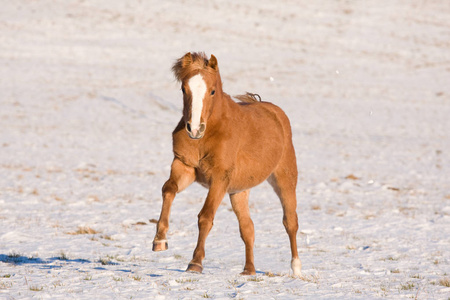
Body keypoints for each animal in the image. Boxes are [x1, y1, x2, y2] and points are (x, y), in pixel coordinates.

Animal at [152, 52, 302, 276]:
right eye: (183, 89)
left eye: (212, 90)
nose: (194, 129)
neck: (208, 135)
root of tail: (276, 114)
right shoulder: (185, 167)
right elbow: (168, 189)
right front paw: (160, 241)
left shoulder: (219, 179)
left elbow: (205, 216)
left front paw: (195, 263)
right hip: (239, 192)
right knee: (248, 228)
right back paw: (249, 270)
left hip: (284, 179)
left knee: (290, 222)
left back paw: (296, 269)